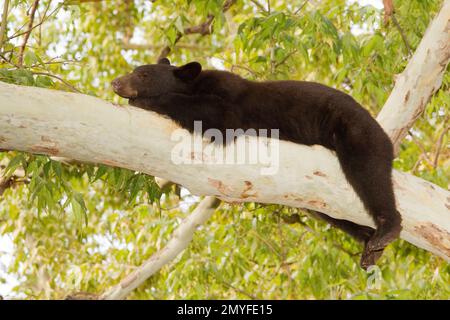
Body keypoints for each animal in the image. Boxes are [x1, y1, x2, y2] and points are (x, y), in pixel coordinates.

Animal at [111, 58, 400, 268]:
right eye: (135, 70)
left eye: (143, 75)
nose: (115, 82)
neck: (196, 85)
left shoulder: (232, 98)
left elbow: (221, 117)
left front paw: (145, 100)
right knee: (329, 213)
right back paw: (369, 242)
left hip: (355, 129)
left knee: (369, 171)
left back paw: (386, 229)